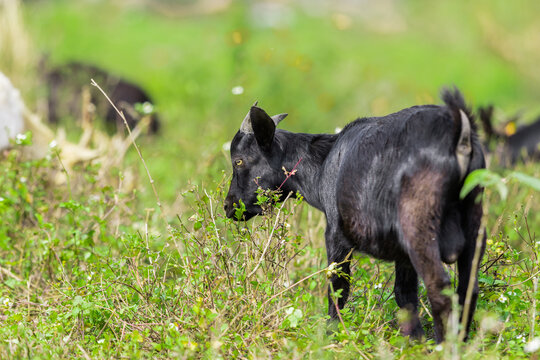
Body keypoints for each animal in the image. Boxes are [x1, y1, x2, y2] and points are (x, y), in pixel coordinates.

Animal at [224, 88, 486, 342]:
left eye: (238, 161)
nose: (228, 206)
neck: (323, 166)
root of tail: (458, 134)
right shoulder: (402, 255)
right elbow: (404, 295)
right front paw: (415, 343)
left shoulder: (336, 236)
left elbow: (337, 289)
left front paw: (332, 337)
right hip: (473, 223)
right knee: (468, 288)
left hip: (419, 226)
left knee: (439, 288)